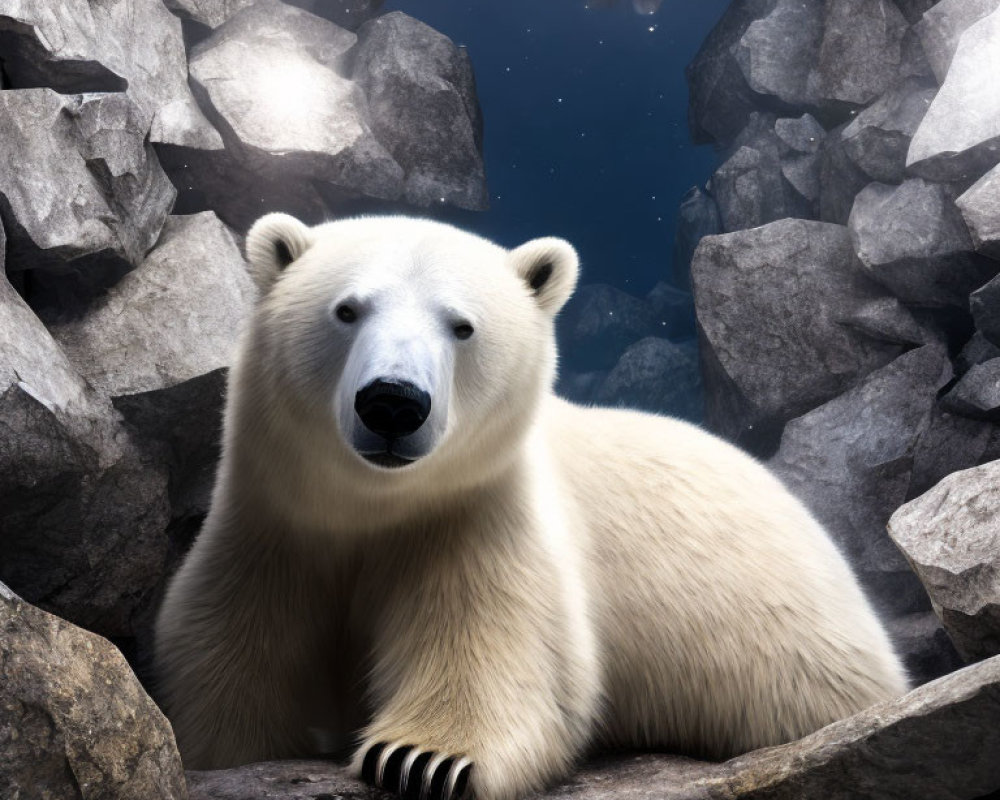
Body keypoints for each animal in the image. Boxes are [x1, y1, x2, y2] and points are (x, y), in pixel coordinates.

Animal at [154, 212, 908, 800]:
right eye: (346, 310)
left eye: (462, 326)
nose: (393, 401)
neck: (372, 507)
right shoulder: (271, 535)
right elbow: (232, 678)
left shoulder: (478, 522)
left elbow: (494, 648)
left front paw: (419, 761)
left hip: (795, 660)